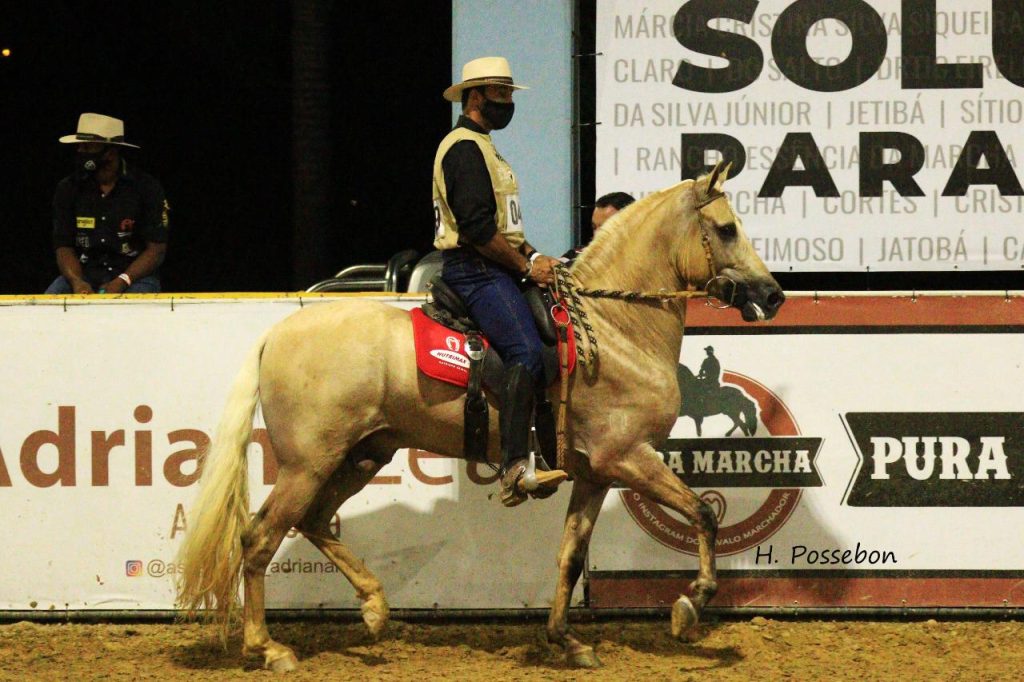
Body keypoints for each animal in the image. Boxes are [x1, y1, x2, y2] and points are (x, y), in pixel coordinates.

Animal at [176, 164, 782, 667]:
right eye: (726, 228)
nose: (773, 295)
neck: (614, 330)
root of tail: (277, 335)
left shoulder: (595, 473)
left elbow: (571, 555)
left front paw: (566, 640)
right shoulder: (629, 458)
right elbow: (702, 514)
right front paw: (689, 606)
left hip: (363, 455)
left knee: (315, 520)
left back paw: (374, 607)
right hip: (309, 463)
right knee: (259, 537)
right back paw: (268, 647)